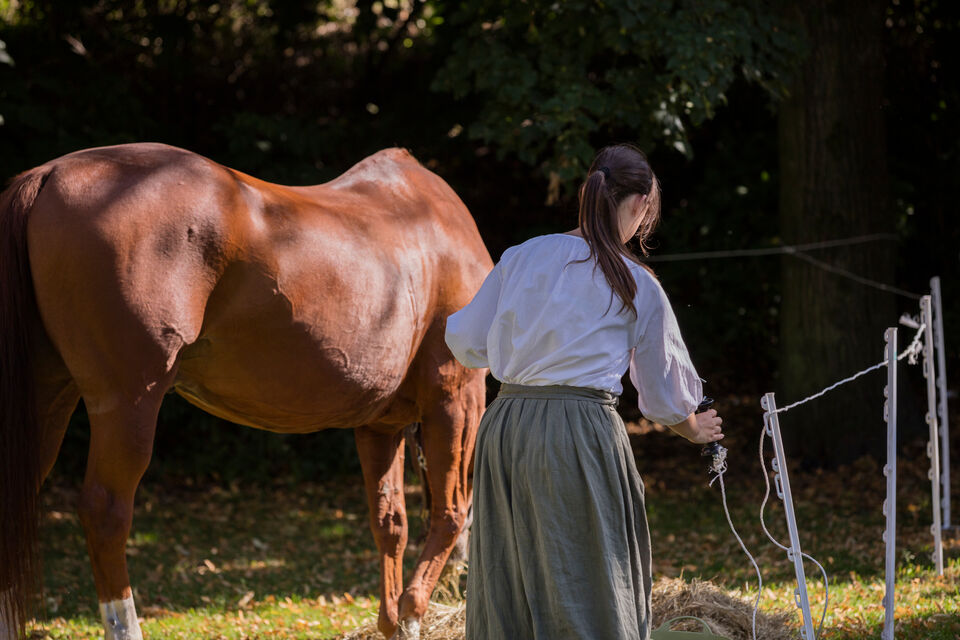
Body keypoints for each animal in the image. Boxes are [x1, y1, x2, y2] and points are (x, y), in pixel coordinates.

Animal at [0, 143, 491, 640]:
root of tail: (49, 175)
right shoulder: (456, 395)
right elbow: (451, 512)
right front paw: (411, 613)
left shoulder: (381, 424)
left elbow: (390, 521)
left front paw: (394, 621)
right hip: (128, 402)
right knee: (106, 511)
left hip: (49, 398)